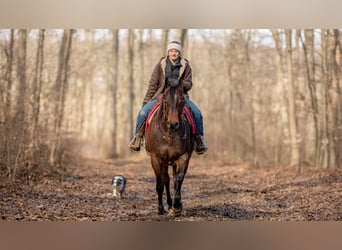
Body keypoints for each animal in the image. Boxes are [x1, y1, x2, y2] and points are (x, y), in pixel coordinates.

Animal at [144, 83, 195, 216]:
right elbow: (160, 184)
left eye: (182, 101)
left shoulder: (183, 156)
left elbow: (179, 179)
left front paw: (177, 206)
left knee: (173, 179)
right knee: (166, 180)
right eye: (166, 101)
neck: (169, 134)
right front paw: (160, 208)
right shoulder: (156, 158)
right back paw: (168, 204)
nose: (173, 124)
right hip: (165, 162)